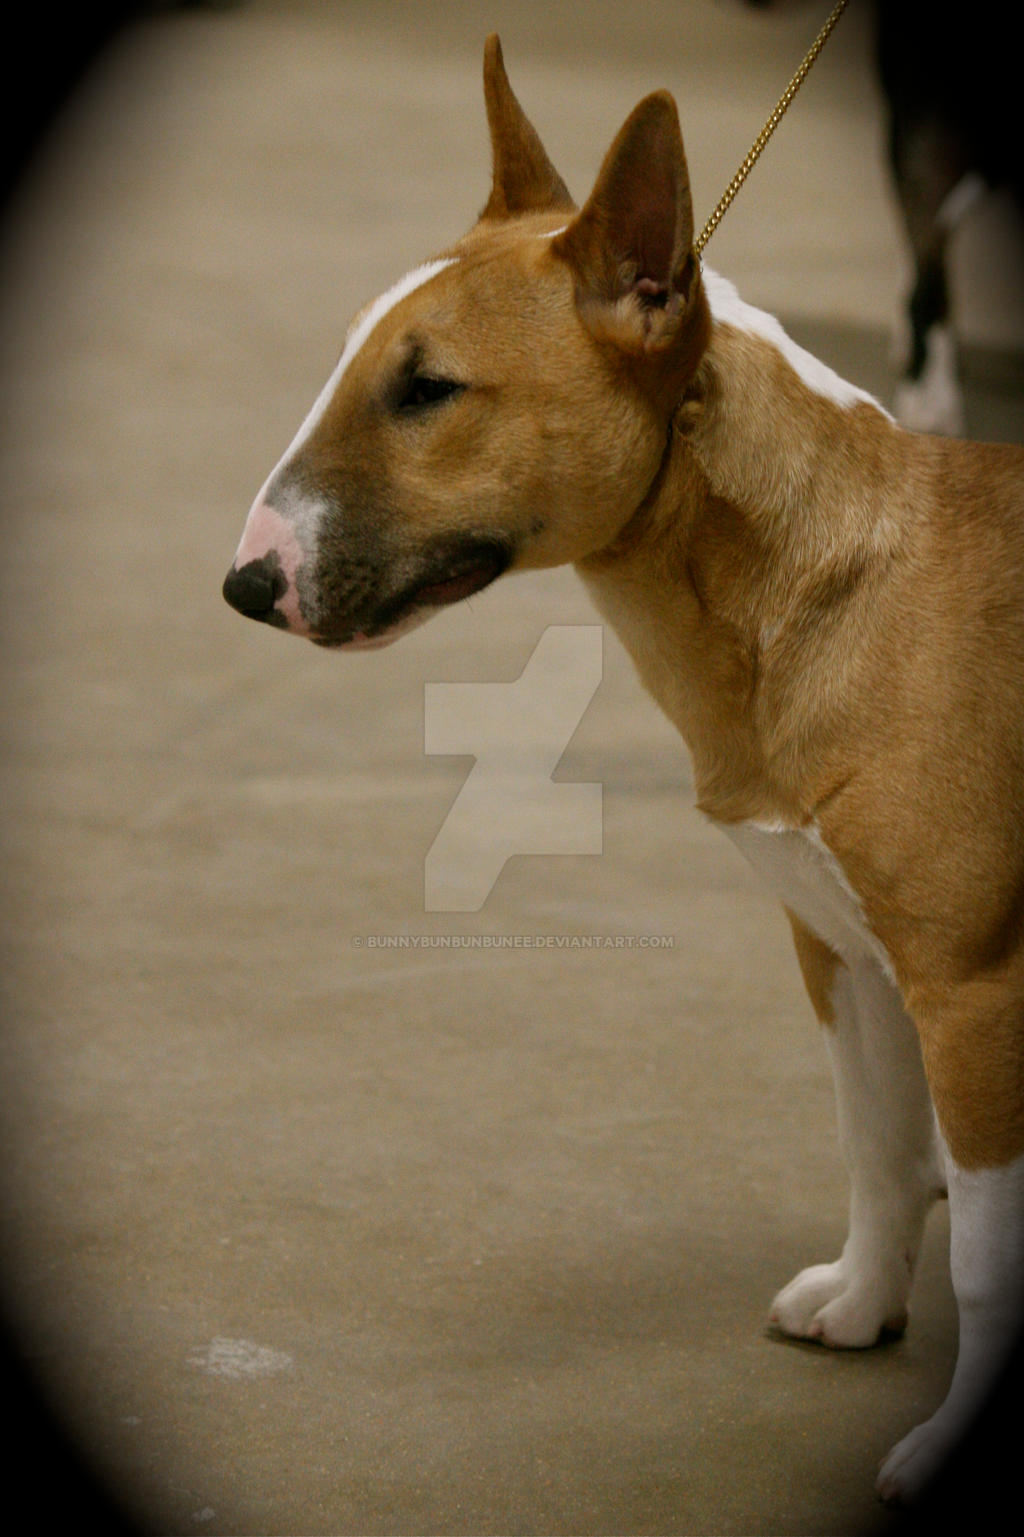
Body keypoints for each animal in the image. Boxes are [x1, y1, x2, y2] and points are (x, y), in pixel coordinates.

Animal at [226, 39, 1020, 1512]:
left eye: (427, 388)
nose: (246, 586)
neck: (828, 583)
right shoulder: (844, 951)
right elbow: (877, 1149)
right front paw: (862, 1304)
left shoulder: (973, 988)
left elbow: (989, 1257)